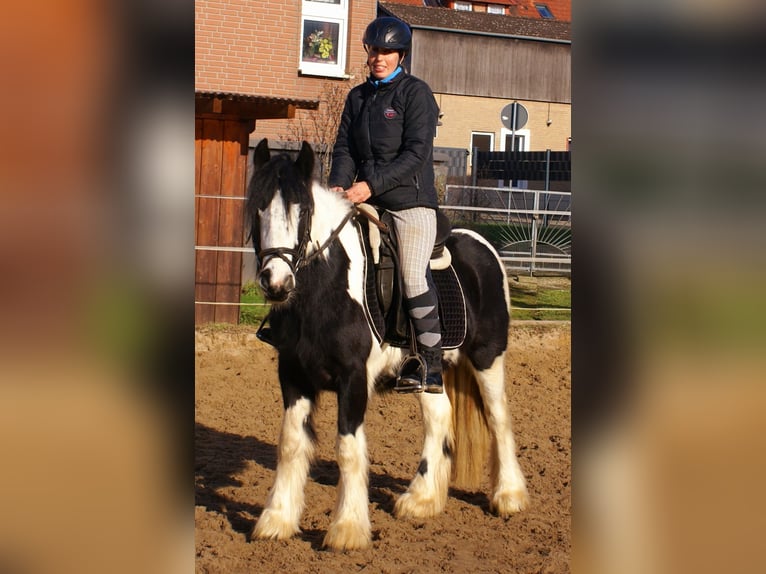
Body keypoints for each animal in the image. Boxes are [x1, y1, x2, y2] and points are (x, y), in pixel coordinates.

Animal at [246, 140, 528, 552]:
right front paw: (276, 520)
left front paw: (347, 529)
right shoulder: (293, 375)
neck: (325, 291)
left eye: (303, 211)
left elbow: (348, 450)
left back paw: (509, 496)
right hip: (429, 373)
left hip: (487, 357)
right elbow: (290, 443)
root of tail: (484, 247)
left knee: (499, 417)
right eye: (258, 207)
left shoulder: (352, 379)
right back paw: (422, 499)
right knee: (439, 418)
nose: (276, 282)